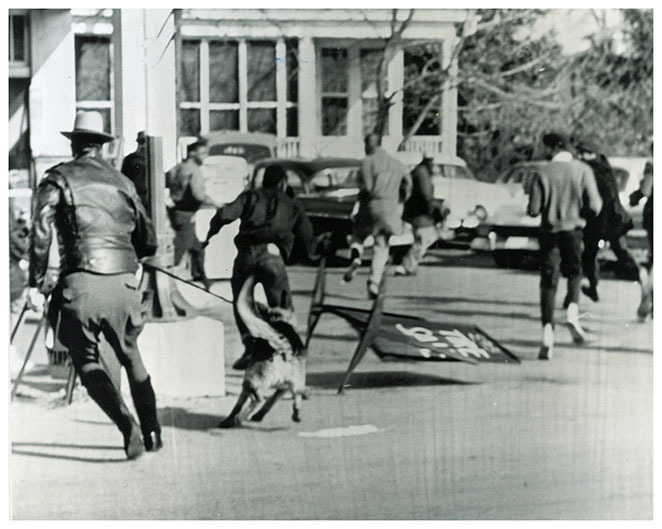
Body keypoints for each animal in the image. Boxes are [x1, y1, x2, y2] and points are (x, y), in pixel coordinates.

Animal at [220, 274, 308, 426]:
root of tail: (284, 348)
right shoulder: (283, 388)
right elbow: (271, 401)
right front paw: (256, 415)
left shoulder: (248, 387)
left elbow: (238, 405)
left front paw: (231, 419)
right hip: (293, 383)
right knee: (294, 396)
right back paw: (295, 414)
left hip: (251, 381)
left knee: (258, 398)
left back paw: (241, 417)